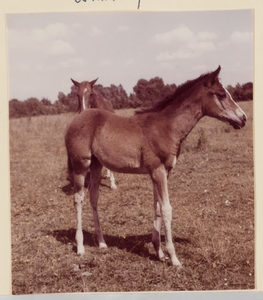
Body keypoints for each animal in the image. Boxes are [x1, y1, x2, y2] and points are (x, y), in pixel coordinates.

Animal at [65, 67, 248, 268]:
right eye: (222, 94)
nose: (243, 118)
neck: (166, 127)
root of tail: (77, 117)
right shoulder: (157, 170)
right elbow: (167, 209)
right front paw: (174, 258)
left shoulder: (163, 172)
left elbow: (158, 207)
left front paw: (159, 251)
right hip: (81, 165)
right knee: (78, 199)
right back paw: (80, 247)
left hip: (97, 165)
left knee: (93, 197)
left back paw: (102, 242)